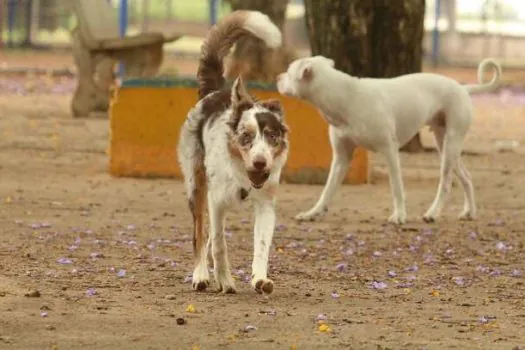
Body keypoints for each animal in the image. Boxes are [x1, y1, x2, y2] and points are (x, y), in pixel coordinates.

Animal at [178, 10, 288, 294]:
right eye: (246, 136)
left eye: (271, 136)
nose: (260, 163)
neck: (243, 177)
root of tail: (217, 90)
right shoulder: (215, 201)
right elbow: (218, 243)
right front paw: (225, 280)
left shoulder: (266, 205)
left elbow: (261, 246)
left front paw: (260, 279)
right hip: (196, 186)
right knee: (200, 235)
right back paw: (201, 275)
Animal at [274, 54, 500, 224]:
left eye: (289, 70)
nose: (277, 77)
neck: (346, 97)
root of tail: (463, 88)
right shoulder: (341, 158)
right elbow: (327, 190)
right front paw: (313, 213)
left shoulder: (390, 151)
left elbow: (396, 187)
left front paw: (399, 215)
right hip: (444, 144)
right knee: (467, 177)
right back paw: (469, 212)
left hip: (450, 144)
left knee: (445, 183)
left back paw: (432, 214)